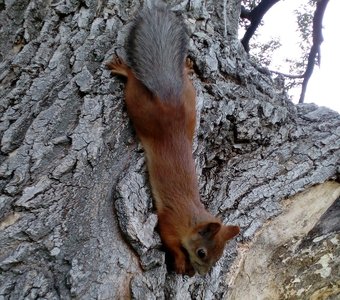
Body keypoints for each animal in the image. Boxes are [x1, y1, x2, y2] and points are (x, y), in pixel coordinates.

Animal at [107, 5, 240, 276]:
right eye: (202, 252)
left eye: (220, 255)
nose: (201, 275)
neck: (190, 216)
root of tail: (168, 97)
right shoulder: (168, 222)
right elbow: (170, 242)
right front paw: (180, 262)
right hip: (139, 106)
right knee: (133, 82)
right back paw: (124, 70)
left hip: (189, 99)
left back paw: (186, 69)